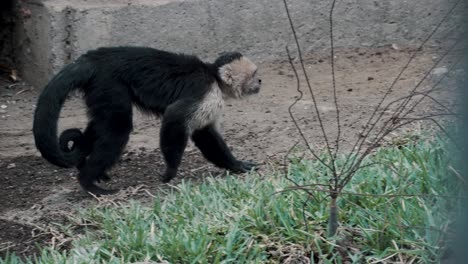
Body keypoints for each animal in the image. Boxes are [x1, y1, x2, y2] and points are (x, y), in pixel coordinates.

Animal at [33, 47, 264, 196]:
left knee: (101, 125)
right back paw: (88, 183)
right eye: (254, 74)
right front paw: (170, 173)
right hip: (108, 83)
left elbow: (205, 134)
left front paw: (237, 165)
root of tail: (92, 60)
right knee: (118, 128)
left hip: (98, 89)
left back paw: (93, 172)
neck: (214, 77)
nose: (261, 80)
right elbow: (174, 118)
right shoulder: (206, 91)